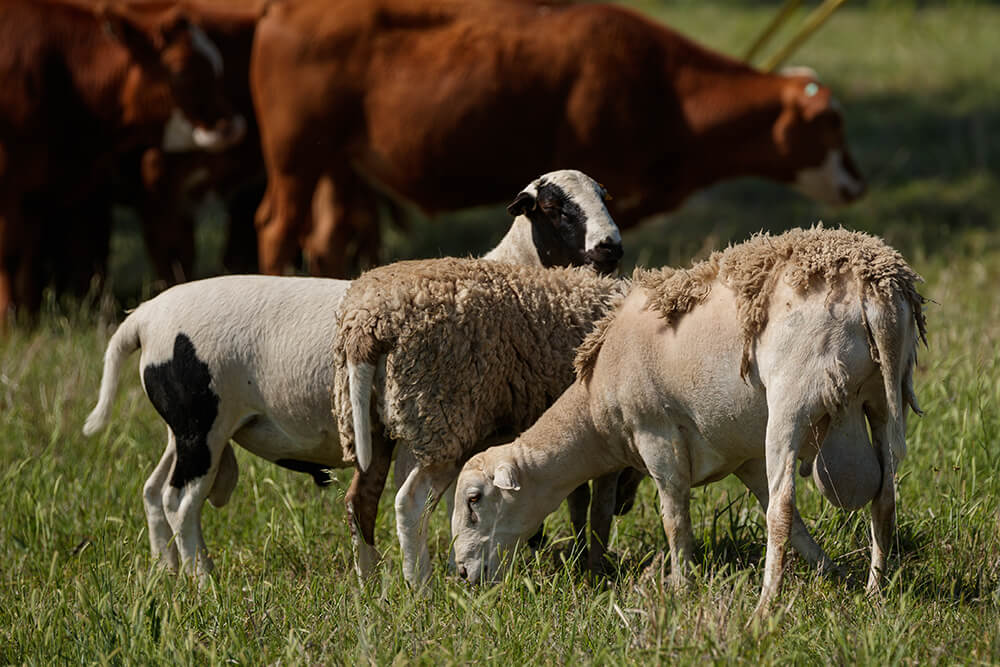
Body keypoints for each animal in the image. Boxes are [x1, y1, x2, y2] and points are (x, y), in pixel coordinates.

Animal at [0, 0, 246, 324]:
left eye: (217, 67)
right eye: (181, 70)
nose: (231, 126)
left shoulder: (36, 187)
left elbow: (27, 259)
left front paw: (26, 320)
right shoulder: (11, 184)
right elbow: (11, 254)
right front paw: (9, 320)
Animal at [84, 168, 624, 580]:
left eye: (603, 196)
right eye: (554, 207)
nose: (611, 247)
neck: (512, 272)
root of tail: (144, 317)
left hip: (189, 430)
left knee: (154, 491)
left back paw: (167, 573)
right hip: (204, 426)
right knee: (180, 503)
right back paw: (203, 581)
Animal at [250, 0, 868, 278]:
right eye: (830, 122)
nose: (858, 185)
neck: (663, 87)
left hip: (337, 165)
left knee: (326, 238)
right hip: (297, 156)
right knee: (277, 229)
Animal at [450, 226, 924, 620]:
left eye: (474, 499)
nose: (462, 574)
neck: (595, 415)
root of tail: (876, 287)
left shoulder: (656, 435)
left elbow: (674, 516)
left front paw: (680, 585)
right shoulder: (745, 460)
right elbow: (799, 530)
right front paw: (832, 575)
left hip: (792, 398)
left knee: (782, 510)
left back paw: (765, 605)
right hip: (882, 401)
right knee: (883, 498)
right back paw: (874, 591)